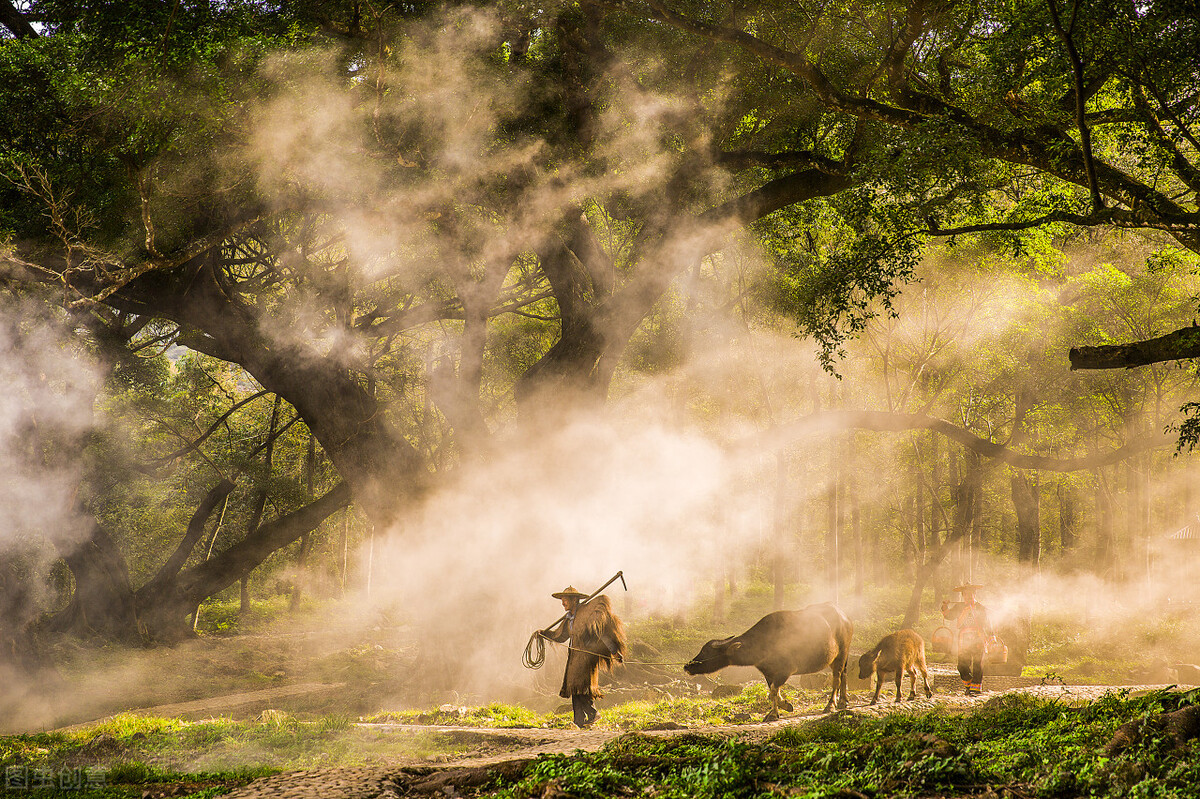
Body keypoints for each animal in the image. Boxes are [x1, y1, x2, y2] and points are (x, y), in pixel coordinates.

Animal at [686, 599, 854, 719]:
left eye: (706, 651)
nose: (687, 666)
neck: (764, 641)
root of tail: (845, 618)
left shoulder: (785, 671)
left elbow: (773, 691)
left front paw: (774, 713)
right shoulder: (768, 673)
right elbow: (773, 691)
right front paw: (783, 706)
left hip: (841, 654)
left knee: (836, 679)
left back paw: (831, 705)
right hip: (837, 658)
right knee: (844, 674)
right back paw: (843, 701)